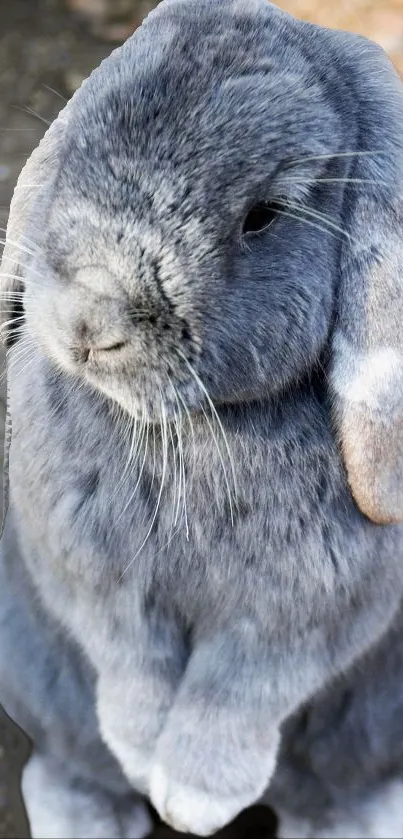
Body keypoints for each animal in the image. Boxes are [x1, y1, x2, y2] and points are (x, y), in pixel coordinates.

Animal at [0, 0, 403, 836]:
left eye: (262, 216)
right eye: (80, 135)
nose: (88, 319)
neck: (182, 430)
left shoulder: (304, 614)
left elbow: (238, 687)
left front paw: (194, 796)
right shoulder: (91, 576)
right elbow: (130, 659)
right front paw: (139, 753)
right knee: (68, 763)